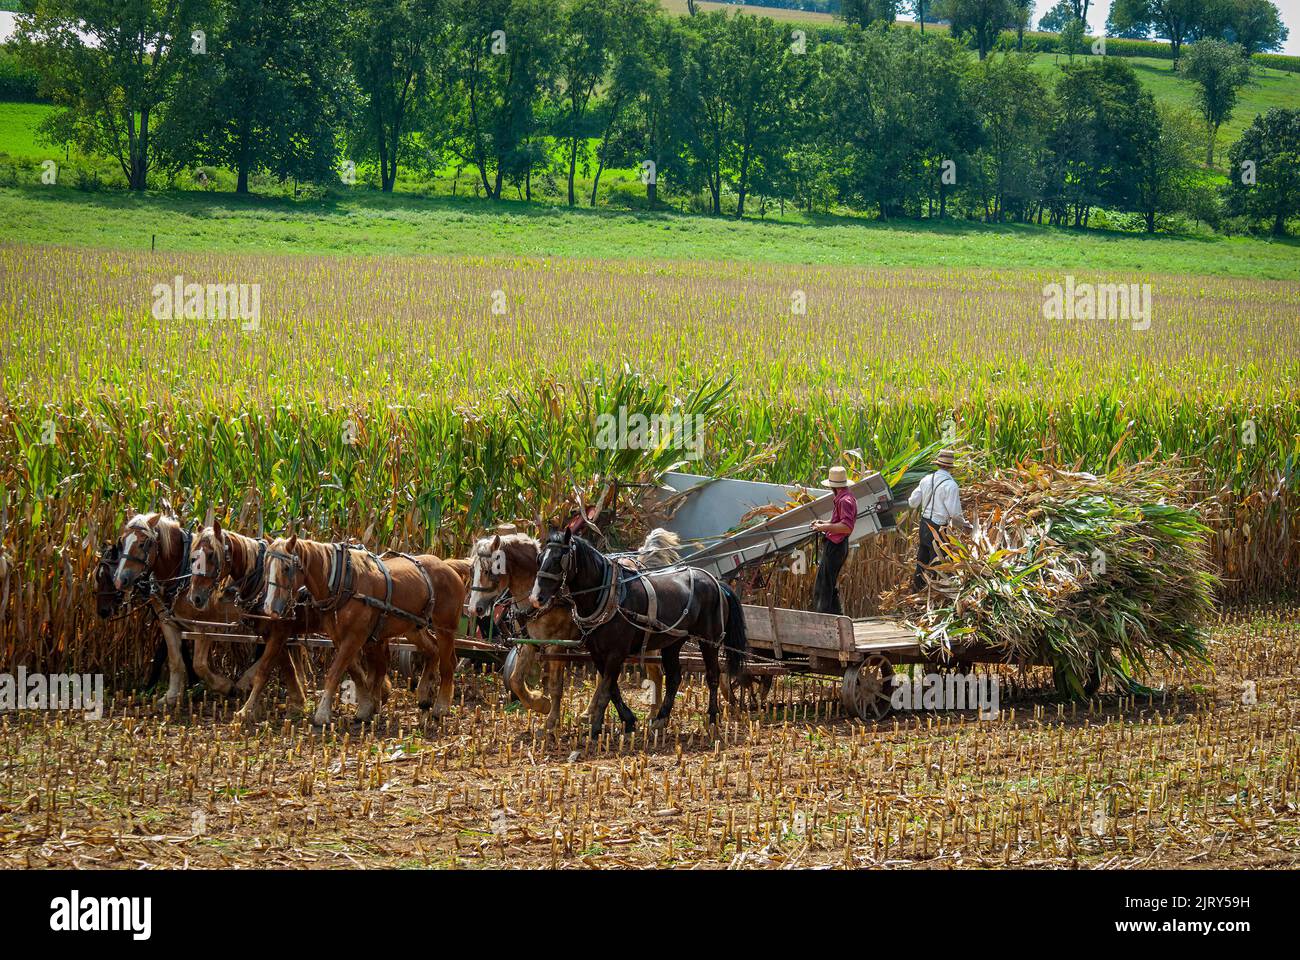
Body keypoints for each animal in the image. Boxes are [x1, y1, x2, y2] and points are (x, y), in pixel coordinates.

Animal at [261, 530, 465, 723]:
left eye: (286, 568)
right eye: (266, 566)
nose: (269, 608)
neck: (343, 581)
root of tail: (447, 565)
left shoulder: (355, 635)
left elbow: (335, 672)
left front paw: (322, 713)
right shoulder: (339, 637)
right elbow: (355, 671)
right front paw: (366, 707)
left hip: (445, 628)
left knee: (448, 664)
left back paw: (441, 707)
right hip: (414, 627)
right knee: (432, 650)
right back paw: (424, 697)